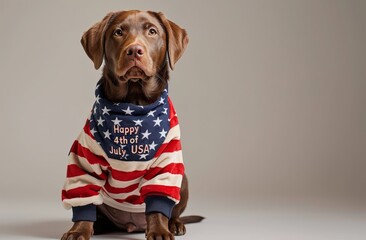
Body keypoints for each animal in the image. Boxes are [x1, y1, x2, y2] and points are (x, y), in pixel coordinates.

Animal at [60, 9, 203, 240]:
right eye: (118, 32)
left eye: (152, 31)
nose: (134, 50)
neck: (133, 106)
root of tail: (133, 224)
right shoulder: (83, 159)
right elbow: (82, 197)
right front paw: (79, 230)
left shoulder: (168, 160)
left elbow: (159, 202)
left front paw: (160, 230)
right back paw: (98, 226)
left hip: (182, 179)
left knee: (172, 210)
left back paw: (174, 224)